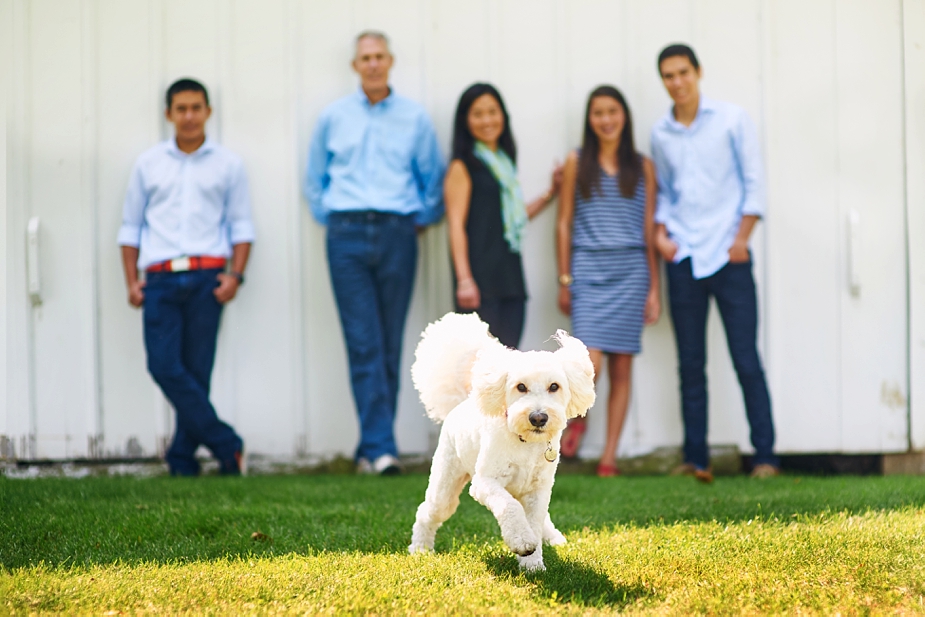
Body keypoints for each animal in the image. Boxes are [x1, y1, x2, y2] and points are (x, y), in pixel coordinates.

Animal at [408, 310, 596, 572]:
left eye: (554, 386)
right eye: (520, 387)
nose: (538, 417)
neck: (525, 442)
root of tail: (462, 402)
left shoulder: (538, 490)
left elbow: (535, 522)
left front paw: (533, 564)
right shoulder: (485, 483)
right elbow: (510, 507)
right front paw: (522, 543)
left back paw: (553, 537)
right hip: (446, 483)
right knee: (428, 512)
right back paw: (420, 548)